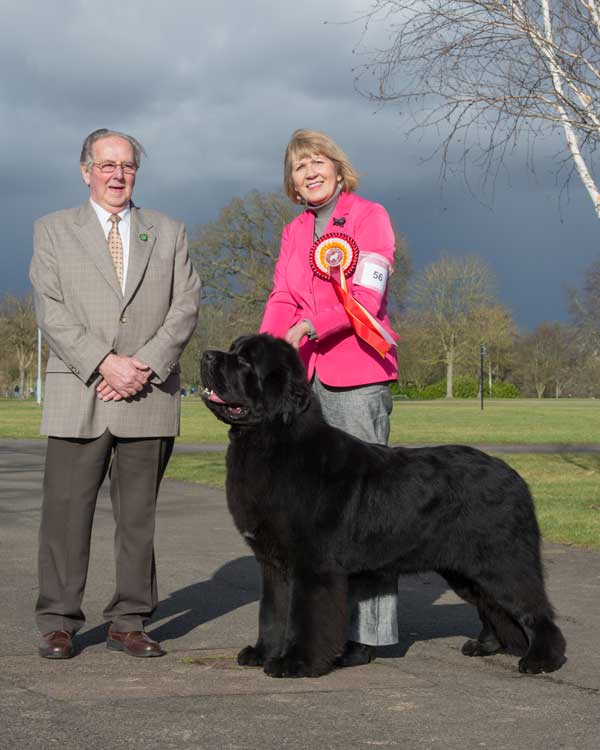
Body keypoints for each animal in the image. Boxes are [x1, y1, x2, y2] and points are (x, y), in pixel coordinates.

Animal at [202, 334, 568, 680]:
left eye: (245, 361)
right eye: (233, 350)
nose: (206, 355)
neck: (272, 441)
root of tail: (516, 478)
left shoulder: (313, 564)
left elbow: (305, 616)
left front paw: (296, 662)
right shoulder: (273, 562)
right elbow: (272, 612)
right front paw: (262, 653)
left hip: (501, 563)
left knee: (533, 609)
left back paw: (541, 660)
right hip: (466, 569)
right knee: (491, 607)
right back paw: (485, 646)